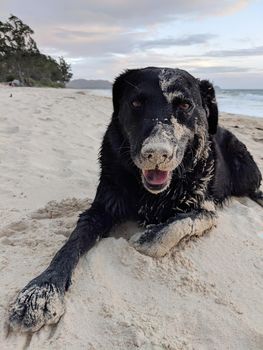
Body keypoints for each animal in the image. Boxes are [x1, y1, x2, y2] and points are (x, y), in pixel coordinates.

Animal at [8, 67, 263, 332]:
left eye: (184, 105)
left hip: (246, 170)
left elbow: (182, 222)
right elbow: (71, 243)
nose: (156, 154)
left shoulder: (205, 207)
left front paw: (148, 237)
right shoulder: (100, 208)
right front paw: (41, 291)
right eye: (136, 103)